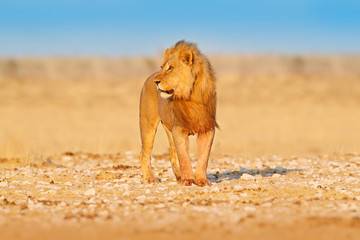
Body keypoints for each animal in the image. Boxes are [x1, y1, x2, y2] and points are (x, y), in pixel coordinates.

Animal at [139, 40, 218, 187]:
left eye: (170, 68)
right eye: (162, 67)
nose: (156, 82)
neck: (192, 95)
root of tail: (149, 77)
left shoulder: (207, 128)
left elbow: (204, 158)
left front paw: (202, 180)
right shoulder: (179, 128)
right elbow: (184, 157)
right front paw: (188, 180)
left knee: (172, 154)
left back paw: (179, 177)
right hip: (147, 124)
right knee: (144, 153)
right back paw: (150, 178)